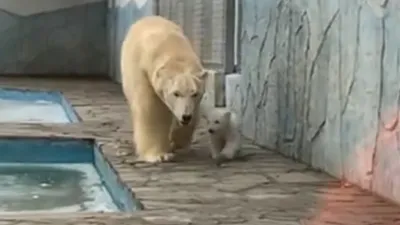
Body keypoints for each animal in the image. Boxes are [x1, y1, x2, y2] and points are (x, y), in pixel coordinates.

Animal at [120, 16, 212, 163]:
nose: (186, 116)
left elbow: (192, 112)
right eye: (176, 93)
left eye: (195, 93)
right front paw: (159, 155)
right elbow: (152, 110)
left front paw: (177, 143)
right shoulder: (144, 72)